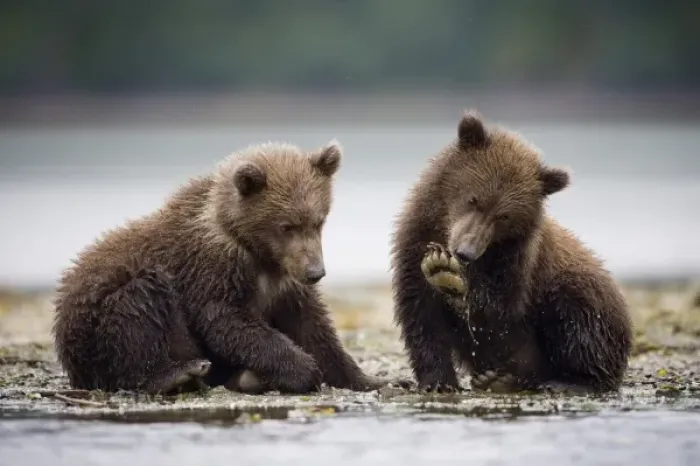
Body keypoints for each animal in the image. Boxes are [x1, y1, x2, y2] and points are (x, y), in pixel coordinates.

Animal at [53, 140, 388, 395]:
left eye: (319, 221)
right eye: (286, 226)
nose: (315, 272)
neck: (258, 252)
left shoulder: (284, 282)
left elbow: (313, 326)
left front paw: (367, 378)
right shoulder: (212, 268)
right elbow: (227, 320)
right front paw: (303, 369)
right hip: (99, 316)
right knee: (138, 305)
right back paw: (178, 374)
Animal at [390, 110, 633, 395]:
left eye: (503, 216)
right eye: (473, 199)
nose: (465, 252)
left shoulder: (516, 261)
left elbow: (498, 313)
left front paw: (449, 277)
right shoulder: (413, 242)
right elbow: (421, 316)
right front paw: (438, 381)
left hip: (585, 293)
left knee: (580, 323)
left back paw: (567, 381)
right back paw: (497, 379)